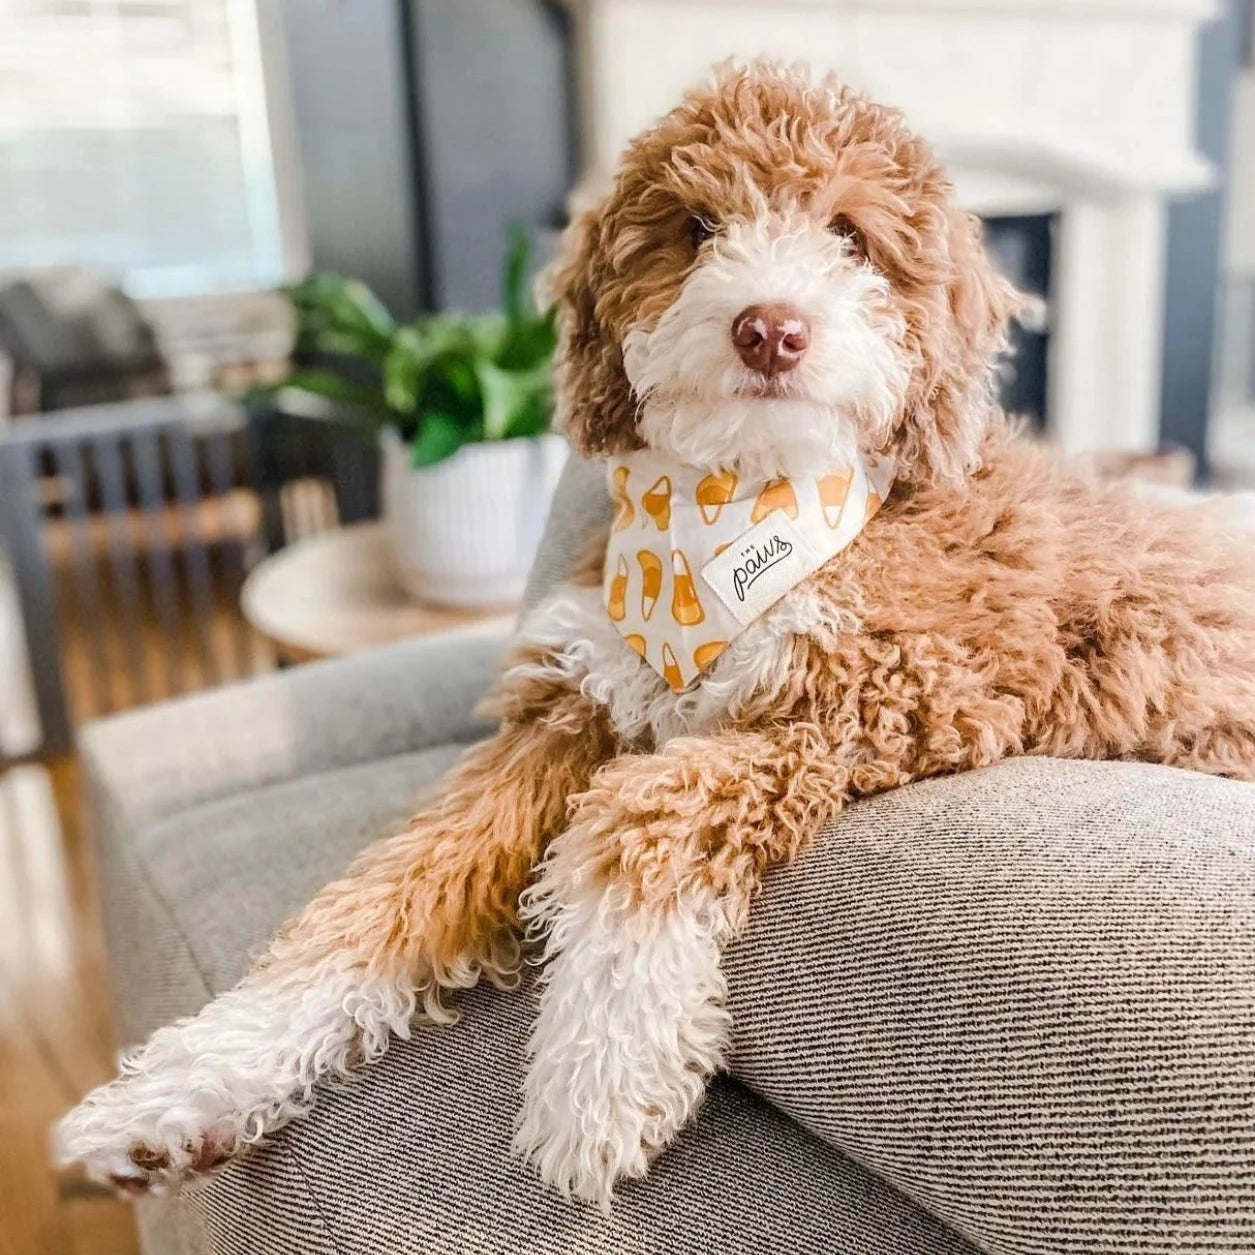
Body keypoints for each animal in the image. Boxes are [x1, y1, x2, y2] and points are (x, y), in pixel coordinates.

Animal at [56, 61, 1255, 1214]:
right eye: (696, 226)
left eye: (850, 236)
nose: (769, 326)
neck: (734, 509)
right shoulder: (572, 704)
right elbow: (386, 885)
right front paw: (190, 1083)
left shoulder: (898, 692)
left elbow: (644, 804)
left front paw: (599, 1073)